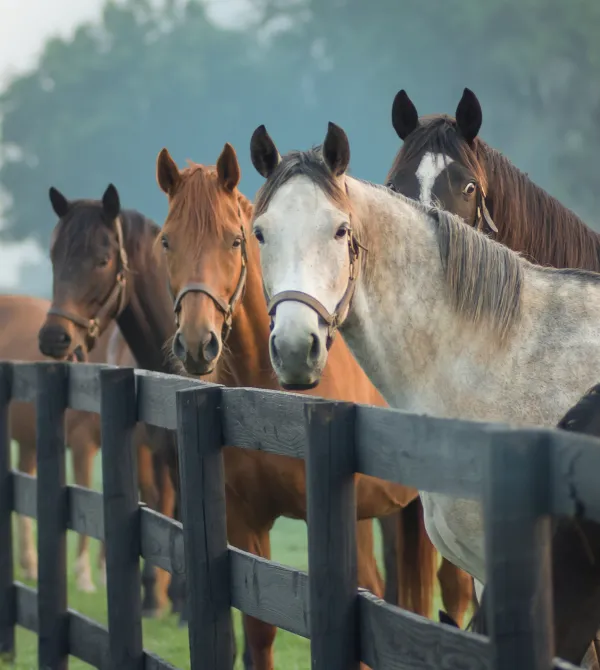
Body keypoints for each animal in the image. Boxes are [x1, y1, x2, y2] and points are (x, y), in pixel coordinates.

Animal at [1, 293, 167, 614]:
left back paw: (29, 564)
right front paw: (84, 575)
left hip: (29, 441)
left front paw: (104, 572)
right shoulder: (82, 444)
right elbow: (88, 493)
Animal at [154, 142, 474, 668]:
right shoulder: (245, 523)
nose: (198, 343)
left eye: (234, 241)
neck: (270, 405)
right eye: (166, 243)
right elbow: (260, 628)